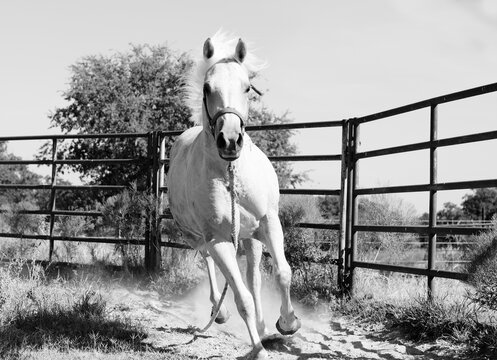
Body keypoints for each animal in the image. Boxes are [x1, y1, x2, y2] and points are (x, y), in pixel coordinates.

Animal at [167, 32, 300, 358]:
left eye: (247, 87)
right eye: (207, 87)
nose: (229, 140)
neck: (230, 173)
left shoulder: (269, 222)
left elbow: (282, 273)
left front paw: (288, 323)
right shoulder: (218, 239)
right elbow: (242, 299)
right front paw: (258, 349)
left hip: (251, 238)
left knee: (253, 277)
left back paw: (265, 327)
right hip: (198, 237)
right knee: (210, 264)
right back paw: (220, 311)